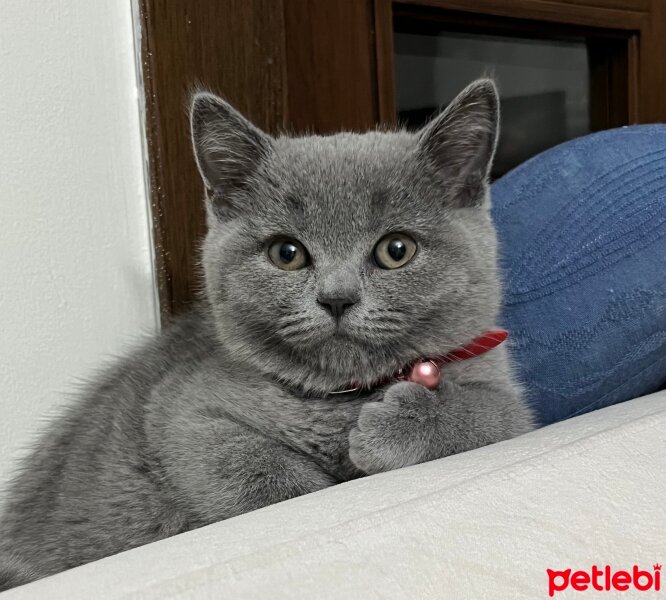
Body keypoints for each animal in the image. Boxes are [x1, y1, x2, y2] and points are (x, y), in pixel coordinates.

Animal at [0, 79, 528, 592]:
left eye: (397, 250)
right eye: (286, 253)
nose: (337, 298)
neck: (343, 397)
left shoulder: (504, 398)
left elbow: (493, 413)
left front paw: (399, 424)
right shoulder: (183, 413)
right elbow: (254, 472)